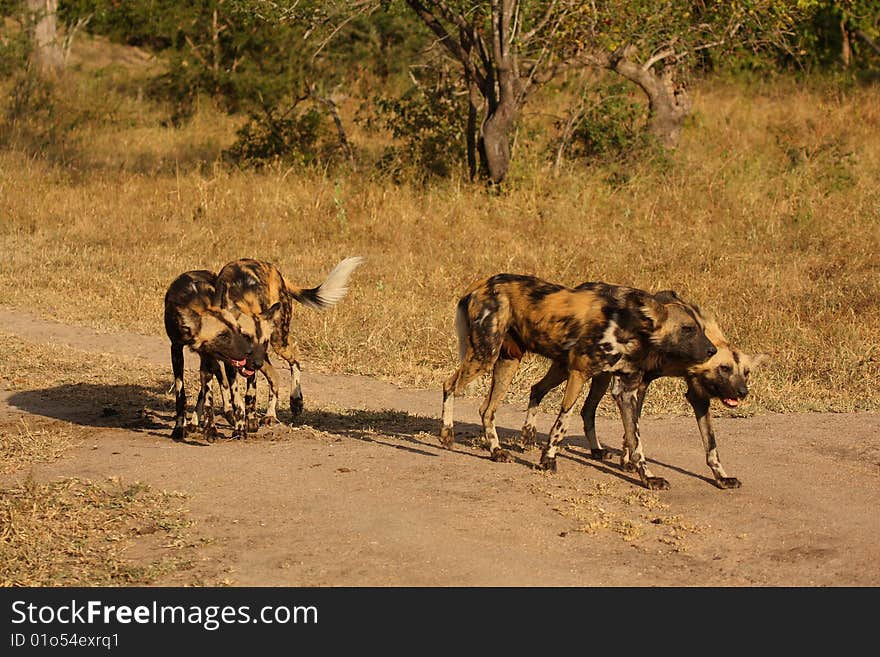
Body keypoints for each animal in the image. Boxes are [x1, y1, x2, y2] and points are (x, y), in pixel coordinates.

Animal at [164, 270, 276, 444]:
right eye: (222, 336)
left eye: (238, 330)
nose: (254, 357)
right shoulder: (176, 350)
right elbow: (181, 396)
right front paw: (179, 428)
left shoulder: (211, 358)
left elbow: (213, 398)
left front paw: (218, 429)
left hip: (223, 361)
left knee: (228, 389)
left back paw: (235, 422)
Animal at [211, 256, 362, 436]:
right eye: (245, 338)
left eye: (261, 342)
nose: (255, 362)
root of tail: (274, 270)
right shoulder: (230, 361)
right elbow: (234, 395)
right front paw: (238, 421)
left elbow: (250, 395)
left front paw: (250, 422)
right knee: (274, 377)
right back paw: (270, 414)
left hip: (278, 342)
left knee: (294, 360)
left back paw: (295, 401)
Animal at [444, 272, 720, 486]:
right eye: (687, 329)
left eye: (701, 328)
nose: (712, 351)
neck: (629, 330)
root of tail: (479, 285)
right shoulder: (579, 373)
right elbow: (562, 423)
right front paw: (548, 461)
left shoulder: (627, 391)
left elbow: (635, 442)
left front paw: (648, 478)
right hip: (484, 357)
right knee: (449, 386)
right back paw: (446, 437)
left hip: (507, 363)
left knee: (487, 409)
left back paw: (497, 451)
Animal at [524, 290, 768, 490]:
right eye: (724, 369)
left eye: (746, 373)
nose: (742, 392)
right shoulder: (632, 387)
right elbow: (634, 435)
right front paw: (639, 470)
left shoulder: (694, 396)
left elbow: (710, 445)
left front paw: (721, 478)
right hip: (570, 371)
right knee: (538, 389)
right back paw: (528, 437)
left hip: (601, 378)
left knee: (585, 409)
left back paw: (595, 450)